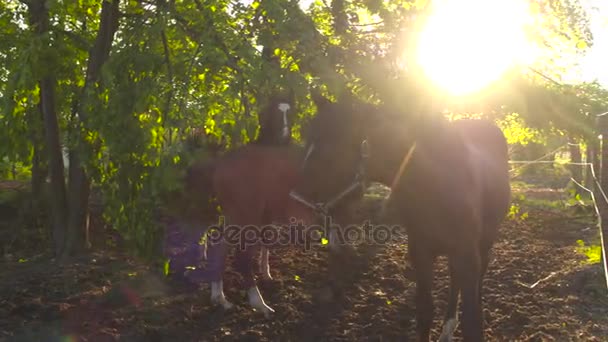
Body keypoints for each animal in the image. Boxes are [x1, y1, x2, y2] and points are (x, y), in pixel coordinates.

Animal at [292, 93, 510, 340]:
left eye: (329, 152)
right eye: (307, 142)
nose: (296, 202)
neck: (438, 184)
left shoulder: (466, 255)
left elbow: (471, 322)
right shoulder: (421, 252)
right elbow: (425, 311)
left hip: (484, 242)